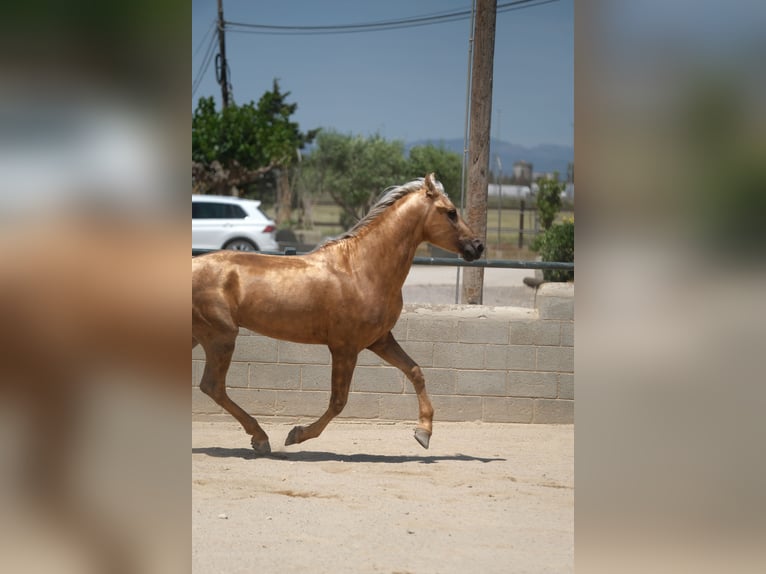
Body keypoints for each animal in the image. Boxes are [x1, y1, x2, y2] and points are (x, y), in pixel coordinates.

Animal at [196, 174, 486, 454]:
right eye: (451, 212)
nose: (478, 246)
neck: (362, 269)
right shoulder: (344, 347)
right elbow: (338, 401)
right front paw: (296, 435)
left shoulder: (379, 340)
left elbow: (415, 371)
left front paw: (423, 433)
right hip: (220, 337)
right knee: (213, 386)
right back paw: (260, 438)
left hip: (203, 338)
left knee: (210, 387)